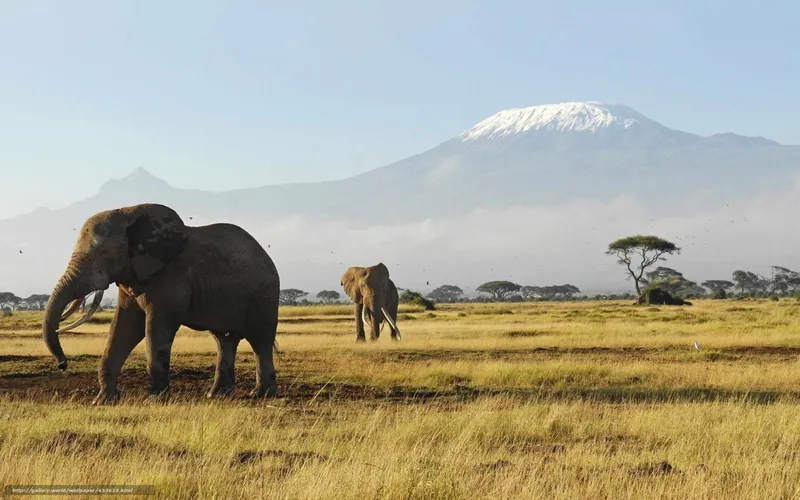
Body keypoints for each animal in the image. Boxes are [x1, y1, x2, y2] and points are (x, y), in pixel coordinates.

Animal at [41, 203, 280, 404]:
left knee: (260, 341)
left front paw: (155, 399)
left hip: (264, 295)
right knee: (225, 340)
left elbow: (156, 328)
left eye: (104, 252)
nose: (62, 365)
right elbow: (124, 327)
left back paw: (261, 395)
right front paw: (103, 401)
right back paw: (216, 395)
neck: (128, 213)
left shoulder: (171, 276)